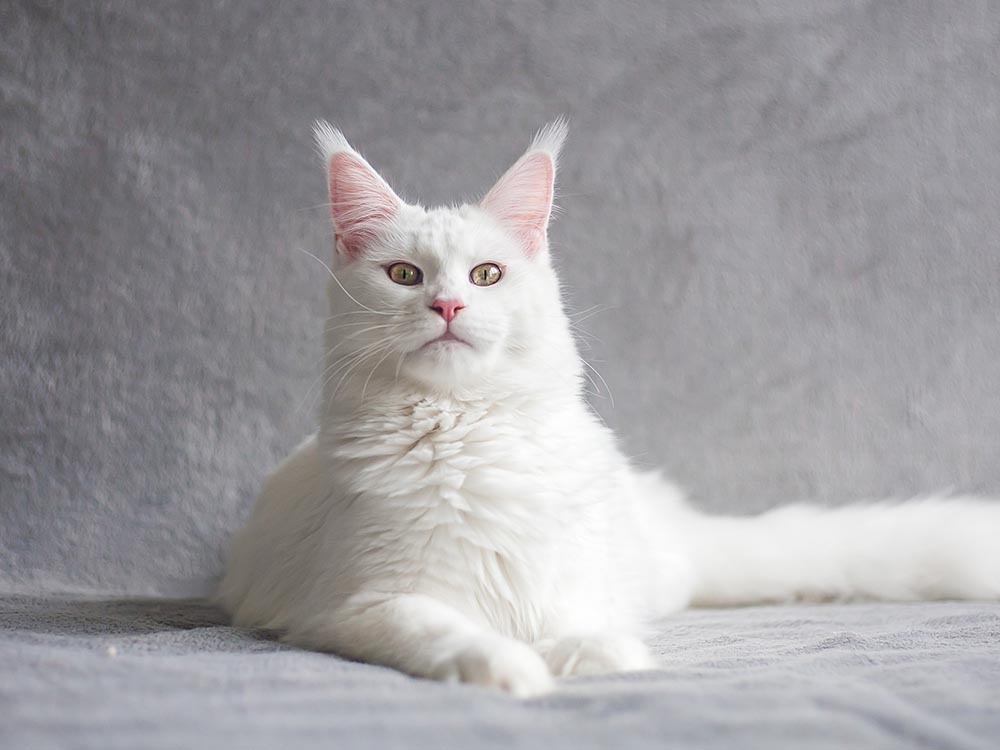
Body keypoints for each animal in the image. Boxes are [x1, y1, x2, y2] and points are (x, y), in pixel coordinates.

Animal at [217, 120, 1000, 696]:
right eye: (405, 275)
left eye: (486, 275)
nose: (447, 306)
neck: (468, 428)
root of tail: (668, 522)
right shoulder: (362, 603)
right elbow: (450, 632)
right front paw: (508, 669)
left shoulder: (561, 577)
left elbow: (574, 622)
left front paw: (589, 655)